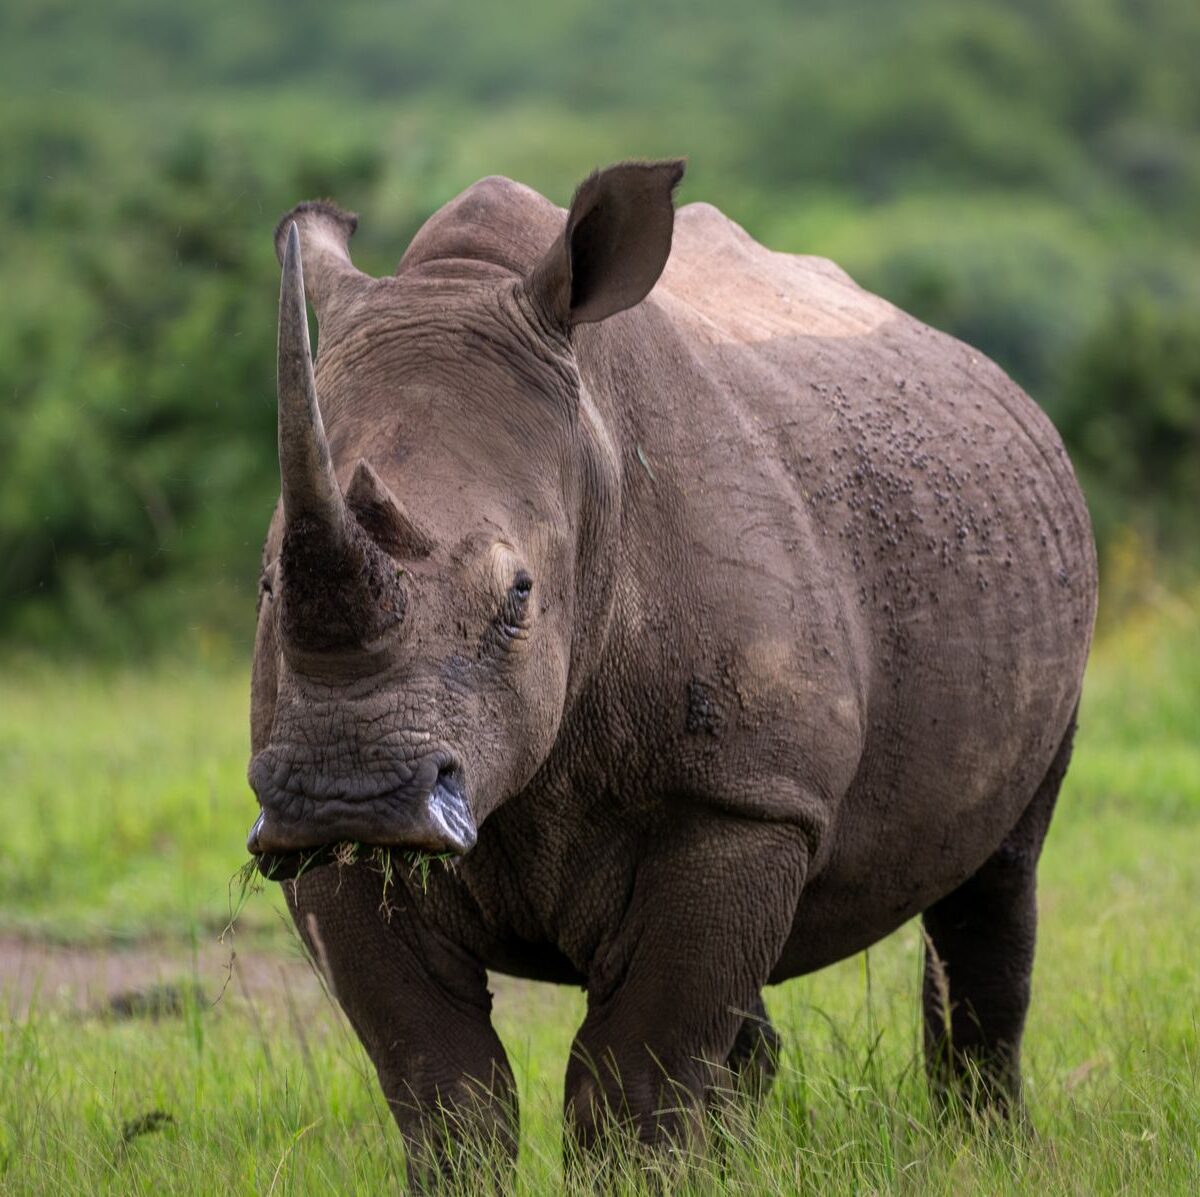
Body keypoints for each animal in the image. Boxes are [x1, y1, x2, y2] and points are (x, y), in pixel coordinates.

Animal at [246, 160, 1096, 1184]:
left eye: (520, 595)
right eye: (265, 580)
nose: (349, 796)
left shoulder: (741, 803)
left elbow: (632, 1080)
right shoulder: (328, 849)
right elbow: (442, 1084)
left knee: (997, 879)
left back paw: (987, 1151)